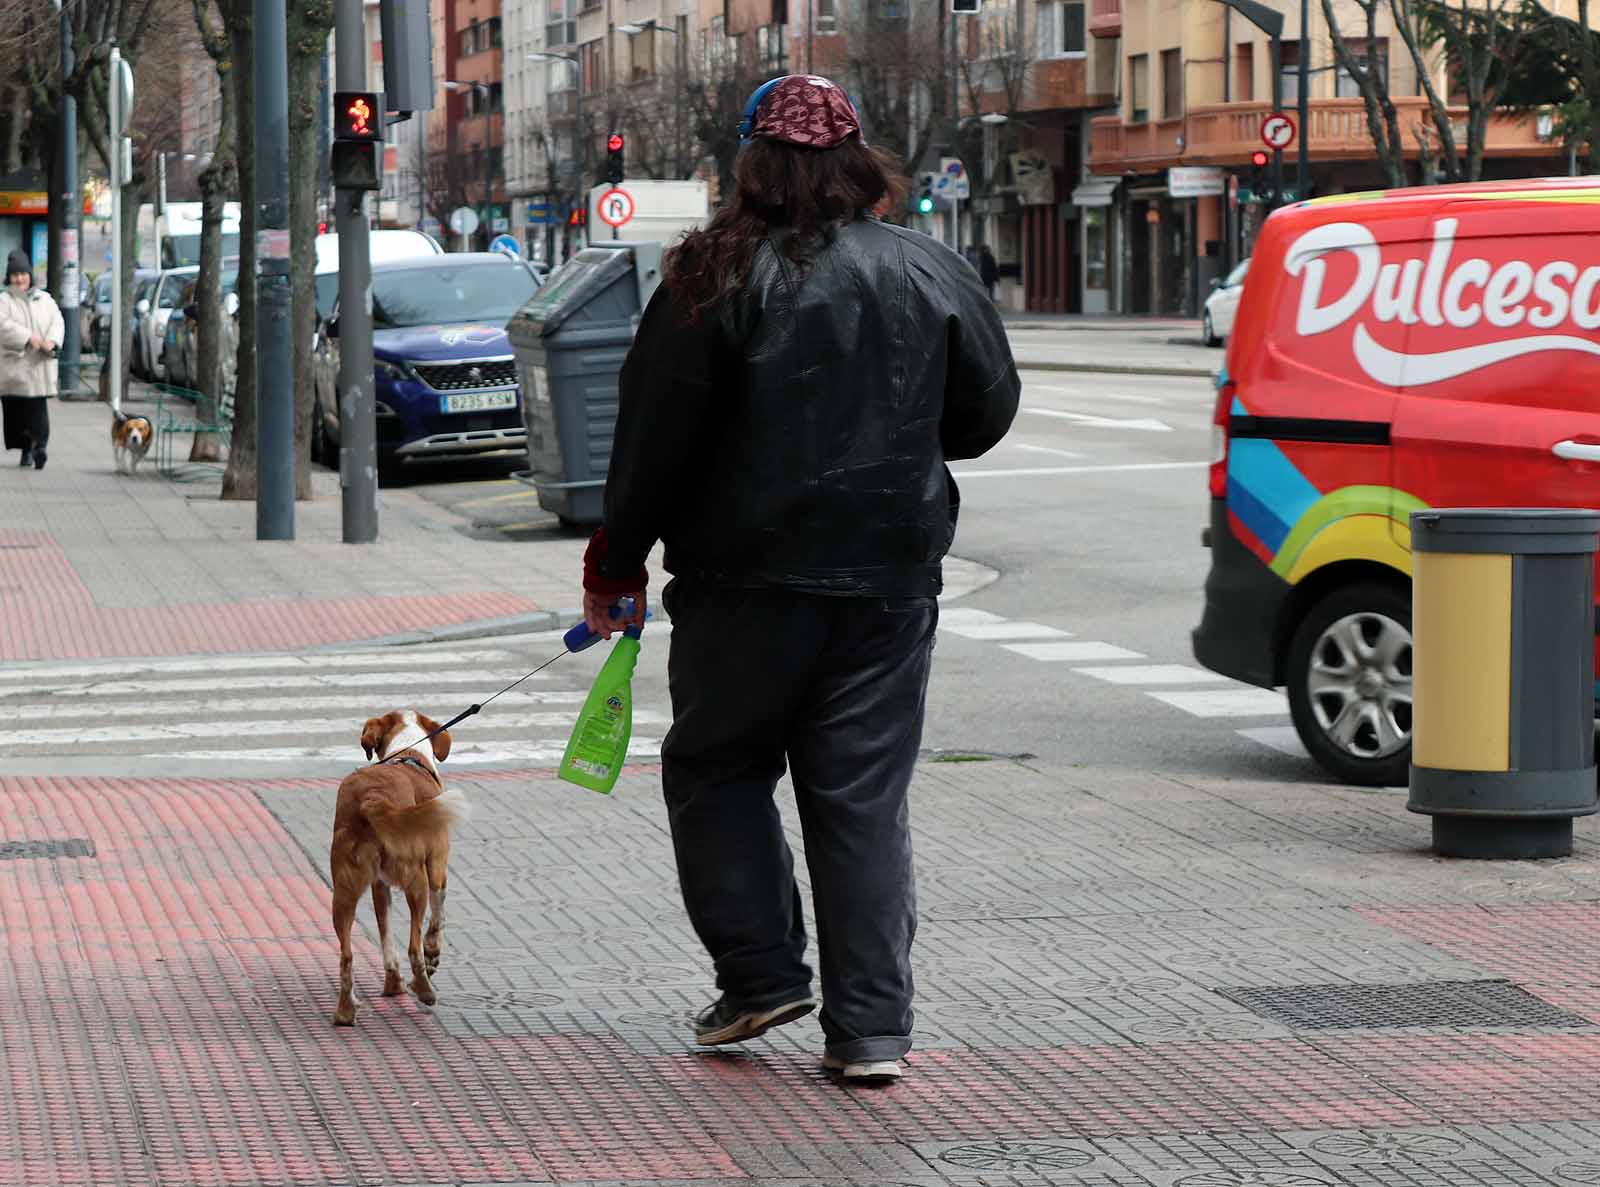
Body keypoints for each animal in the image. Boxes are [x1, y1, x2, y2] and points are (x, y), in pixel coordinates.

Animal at [328, 710, 467, 1030]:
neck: (408, 752)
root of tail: (372, 799)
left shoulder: (379, 887)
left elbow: (386, 935)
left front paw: (393, 985)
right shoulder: (438, 865)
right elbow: (437, 920)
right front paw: (433, 954)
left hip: (343, 891)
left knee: (347, 955)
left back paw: (346, 1012)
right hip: (417, 880)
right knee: (414, 946)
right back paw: (425, 990)